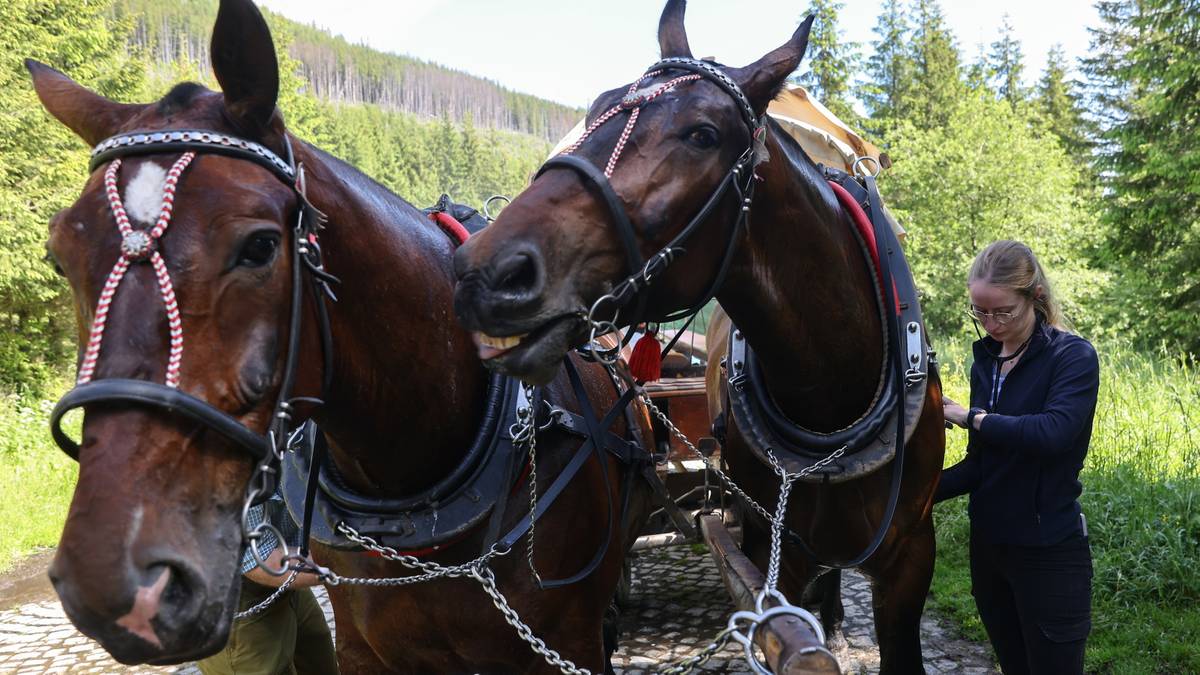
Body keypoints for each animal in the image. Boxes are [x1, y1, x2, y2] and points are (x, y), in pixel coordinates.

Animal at [451, 2, 945, 667]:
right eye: (595, 106)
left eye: (702, 135)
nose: (485, 271)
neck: (835, 398)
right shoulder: (770, 550)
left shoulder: (913, 556)